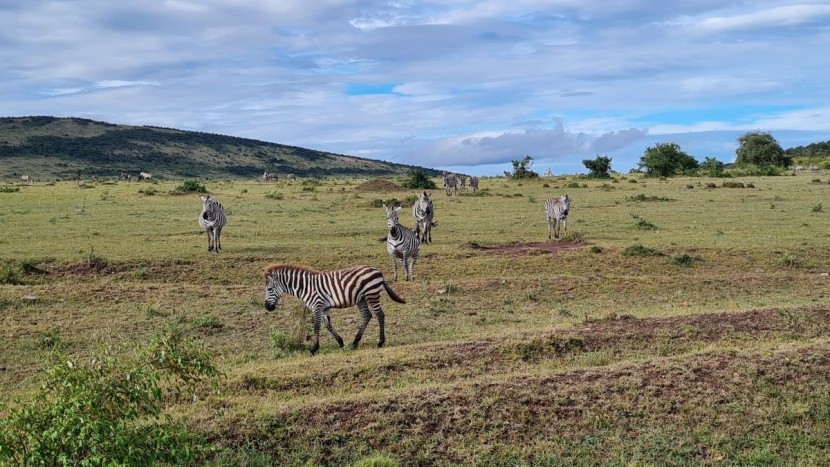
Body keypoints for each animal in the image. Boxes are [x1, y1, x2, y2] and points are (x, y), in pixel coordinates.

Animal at [264, 264, 406, 354]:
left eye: (269, 289)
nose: (267, 307)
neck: (306, 287)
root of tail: (378, 272)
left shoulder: (317, 305)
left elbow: (316, 326)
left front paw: (314, 348)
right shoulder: (324, 308)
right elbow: (328, 325)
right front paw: (341, 343)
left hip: (372, 294)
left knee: (380, 315)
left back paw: (380, 342)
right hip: (361, 299)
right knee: (367, 316)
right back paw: (354, 343)